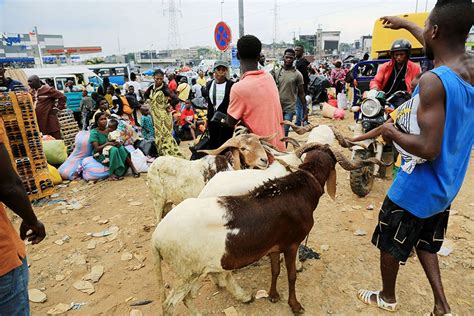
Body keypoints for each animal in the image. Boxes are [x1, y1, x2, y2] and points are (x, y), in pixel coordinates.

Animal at [152, 143, 386, 314]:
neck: (300, 187)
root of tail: (156, 239)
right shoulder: (292, 244)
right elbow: (291, 275)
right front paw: (295, 305)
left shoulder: (274, 246)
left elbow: (275, 270)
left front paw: (273, 296)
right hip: (186, 273)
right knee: (170, 304)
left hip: (195, 272)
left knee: (191, 297)